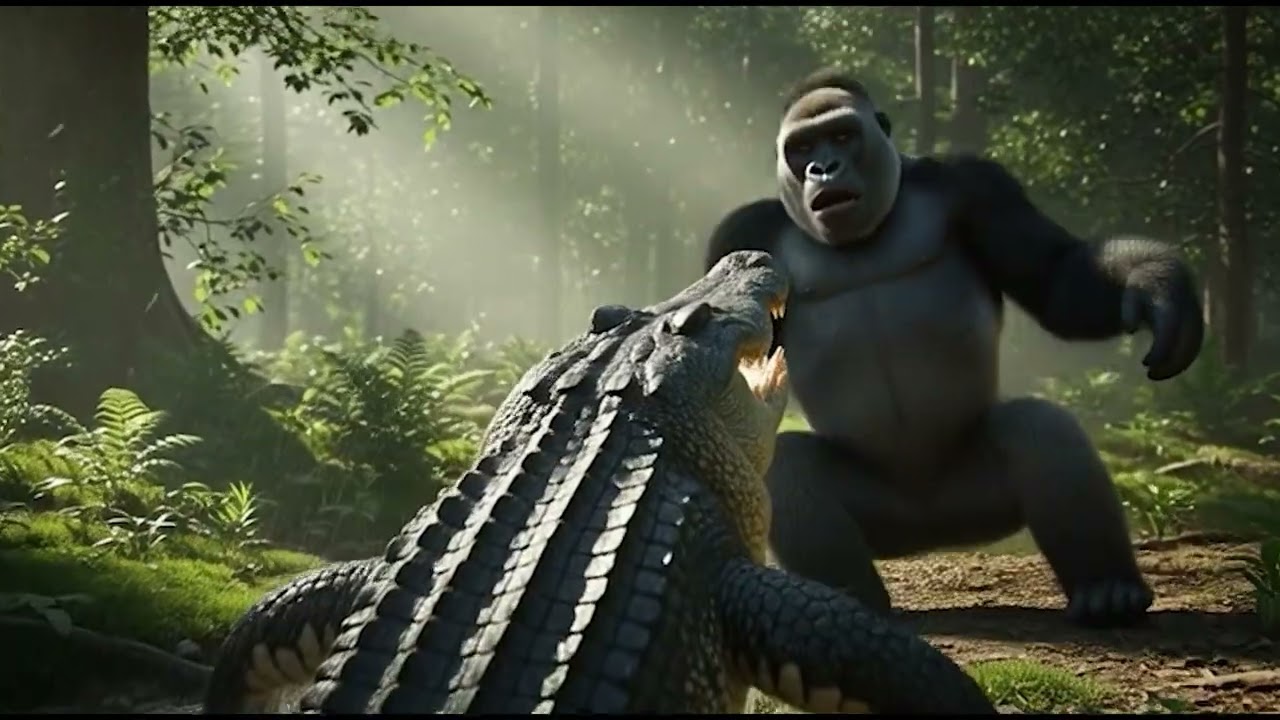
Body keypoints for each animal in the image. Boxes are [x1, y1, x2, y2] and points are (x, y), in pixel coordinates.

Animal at [703, 67, 1204, 628]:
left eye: (842, 136)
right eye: (802, 146)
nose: (823, 167)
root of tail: (933, 529)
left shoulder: (978, 185)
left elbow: (1054, 278)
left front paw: (1154, 280)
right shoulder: (740, 232)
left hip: (974, 500)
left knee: (1038, 426)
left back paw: (1107, 590)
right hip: (888, 519)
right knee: (789, 464)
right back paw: (852, 597)